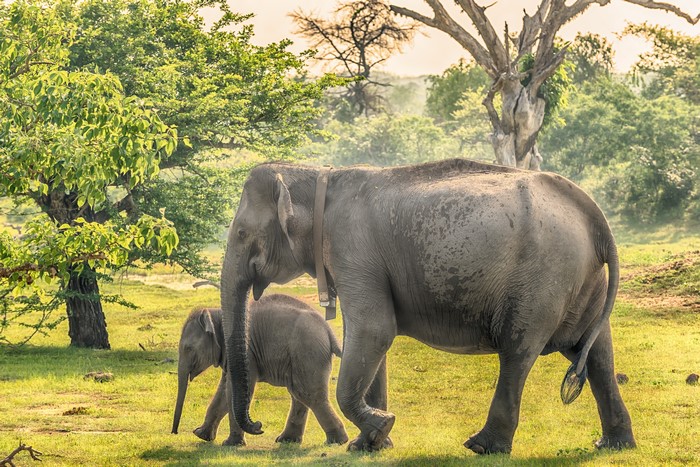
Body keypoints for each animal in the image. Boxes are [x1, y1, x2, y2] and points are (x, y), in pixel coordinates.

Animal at [171, 294, 348, 446]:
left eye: (188, 348)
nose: (174, 432)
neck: (217, 314)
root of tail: (328, 330)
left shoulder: (246, 354)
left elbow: (235, 390)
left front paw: (230, 444)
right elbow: (223, 391)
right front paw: (201, 435)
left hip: (308, 352)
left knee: (309, 394)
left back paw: (337, 441)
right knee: (299, 394)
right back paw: (287, 440)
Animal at [220, 158, 636, 454]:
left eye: (240, 232)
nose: (257, 426)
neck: (318, 174)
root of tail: (595, 217)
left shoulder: (353, 249)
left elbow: (374, 330)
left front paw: (381, 426)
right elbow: (368, 338)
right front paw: (370, 444)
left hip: (543, 278)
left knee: (518, 352)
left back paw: (482, 446)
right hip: (582, 281)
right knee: (596, 354)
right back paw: (613, 445)